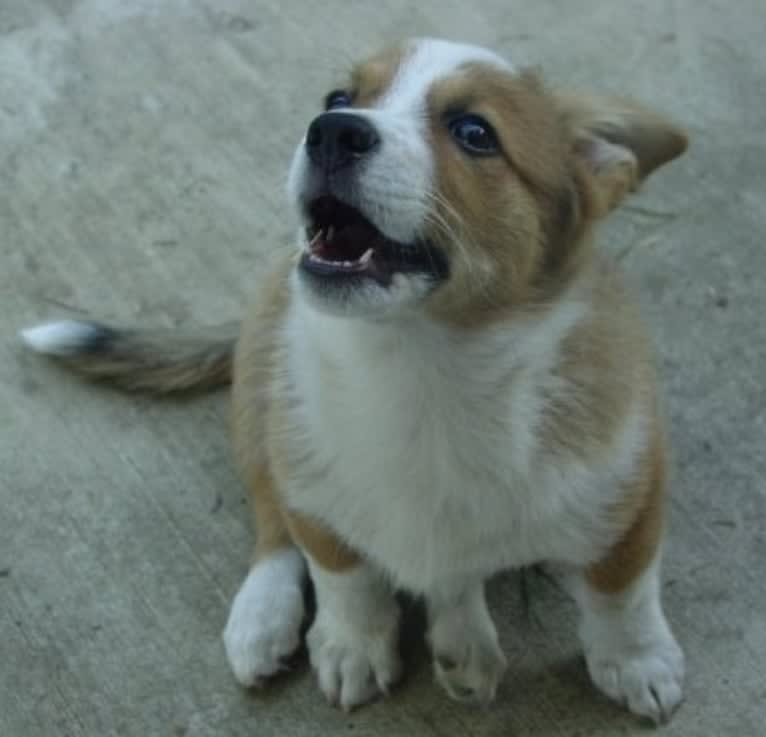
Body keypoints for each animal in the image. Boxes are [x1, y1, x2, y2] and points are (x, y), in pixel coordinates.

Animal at [21, 37, 688, 720]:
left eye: (475, 133)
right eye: (338, 98)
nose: (331, 132)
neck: (422, 368)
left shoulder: (631, 490)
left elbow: (621, 592)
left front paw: (638, 663)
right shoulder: (311, 485)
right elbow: (343, 573)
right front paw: (353, 645)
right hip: (258, 393)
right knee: (271, 517)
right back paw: (265, 615)